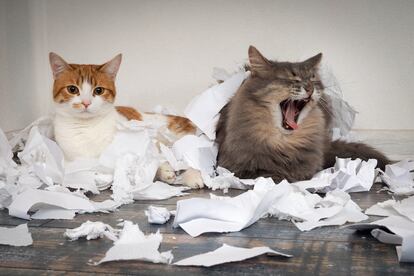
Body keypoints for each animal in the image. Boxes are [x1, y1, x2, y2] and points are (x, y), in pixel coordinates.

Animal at [49, 52, 204, 189]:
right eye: (72, 89)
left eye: (98, 90)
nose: (86, 103)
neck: (87, 129)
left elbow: (155, 159)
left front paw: (167, 170)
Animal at [215, 46, 390, 182]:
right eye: (292, 79)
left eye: (313, 79)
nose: (310, 88)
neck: (284, 143)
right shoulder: (234, 166)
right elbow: (266, 173)